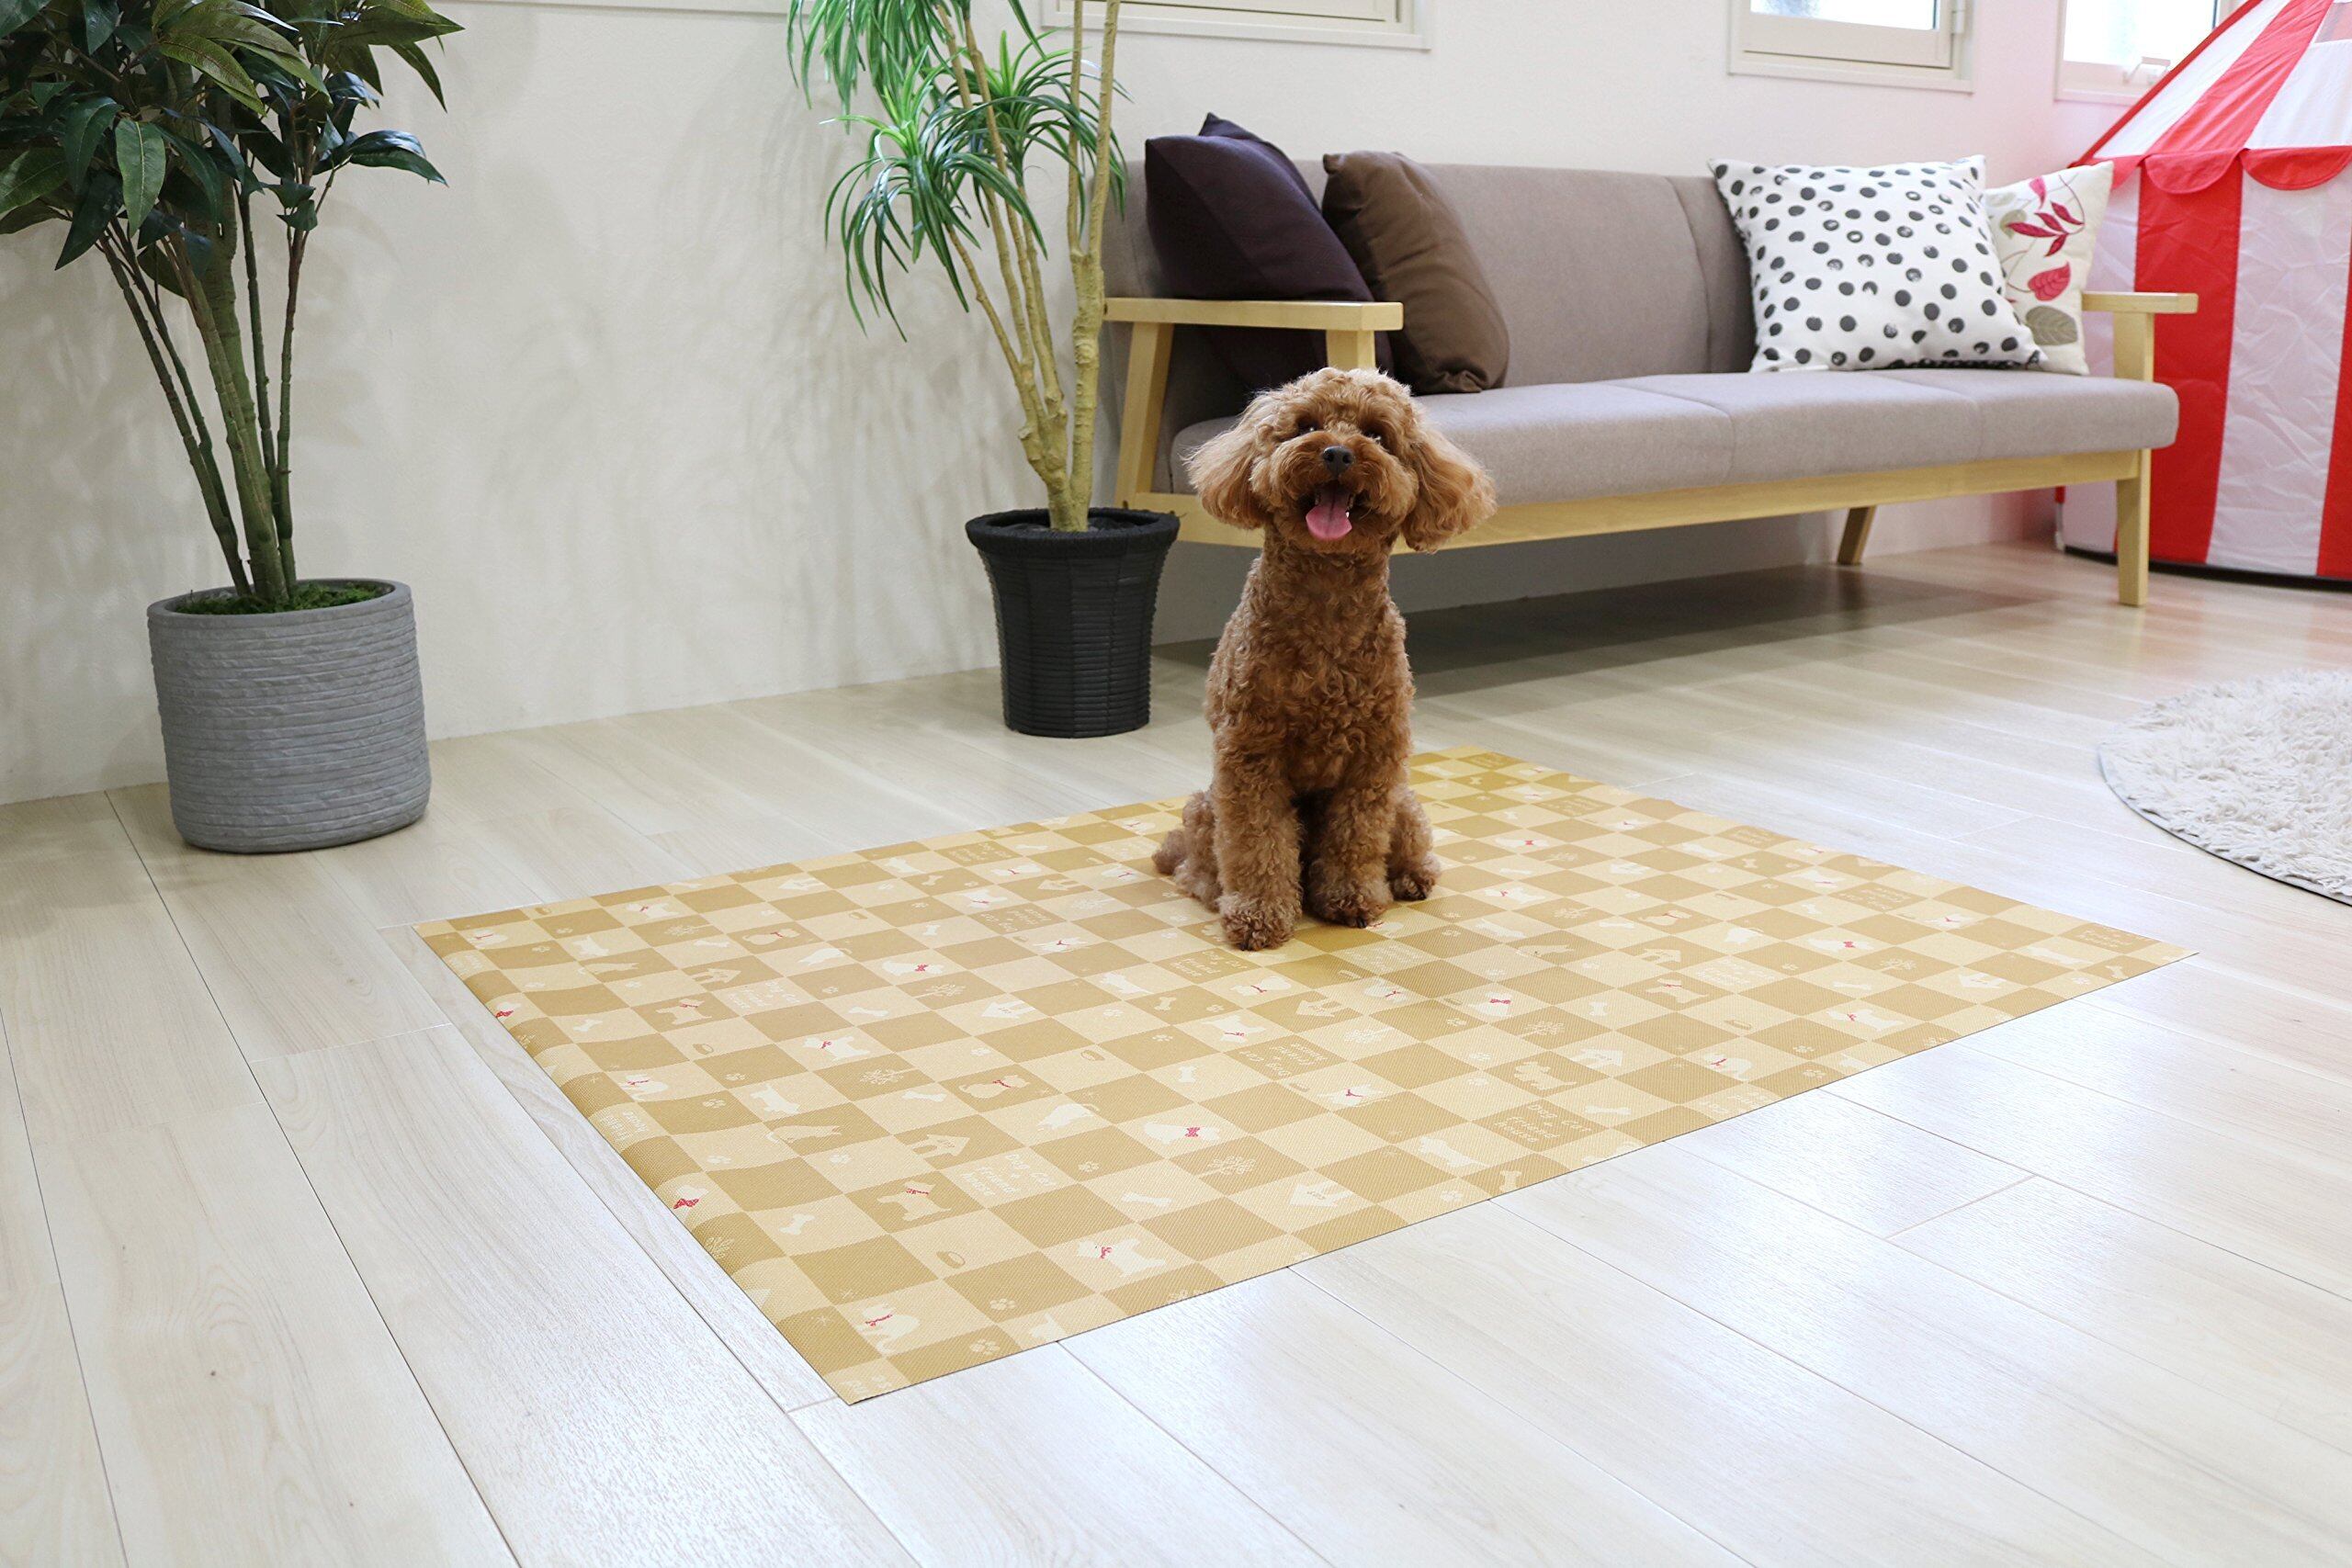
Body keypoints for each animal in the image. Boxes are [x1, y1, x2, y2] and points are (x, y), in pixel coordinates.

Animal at [1152, 367, 1497, 950]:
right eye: (1305, 426)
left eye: (1378, 434)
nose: (1337, 453)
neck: (1326, 599)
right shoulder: (1250, 755)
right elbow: (1258, 843)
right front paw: (1259, 917)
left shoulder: (1375, 760)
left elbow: (1356, 838)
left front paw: (1352, 900)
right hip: (1205, 807)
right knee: (1196, 864)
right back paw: (1212, 888)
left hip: (1404, 803)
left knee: (1407, 842)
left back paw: (1412, 878)